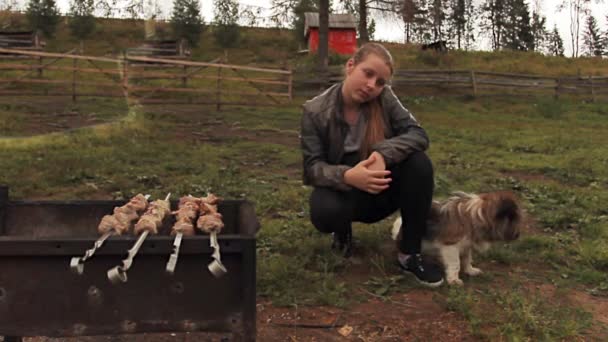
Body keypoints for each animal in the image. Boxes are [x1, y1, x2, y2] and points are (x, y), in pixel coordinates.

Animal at [394, 191, 524, 284]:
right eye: (513, 219)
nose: (518, 235)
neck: (476, 215)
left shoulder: (467, 245)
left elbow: (467, 259)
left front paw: (470, 270)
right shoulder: (450, 245)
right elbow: (456, 263)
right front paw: (454, 280)